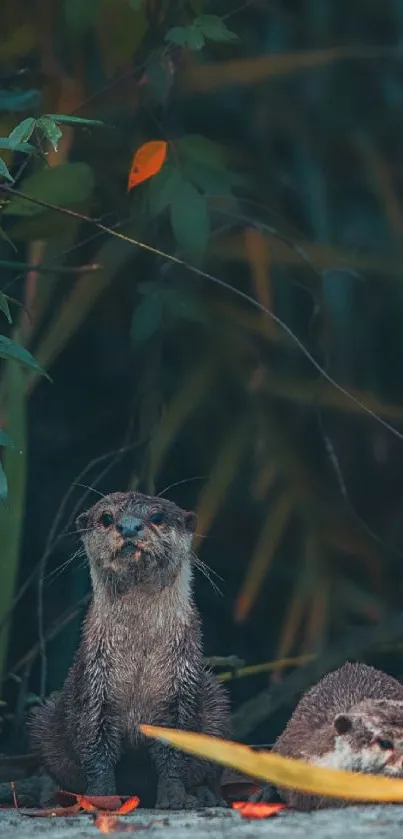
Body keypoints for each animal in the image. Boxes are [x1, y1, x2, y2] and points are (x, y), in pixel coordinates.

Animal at [29, 492, 230, 808]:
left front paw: (175, 798)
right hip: (46, 722)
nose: (129, 527)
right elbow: (95, 750)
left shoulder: (182, 690)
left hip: (217, 706)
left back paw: (206, 794)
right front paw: (101, 800)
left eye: (157, 516)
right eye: (106, 517)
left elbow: (176, 751)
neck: (139, 663)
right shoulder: (93, 687)